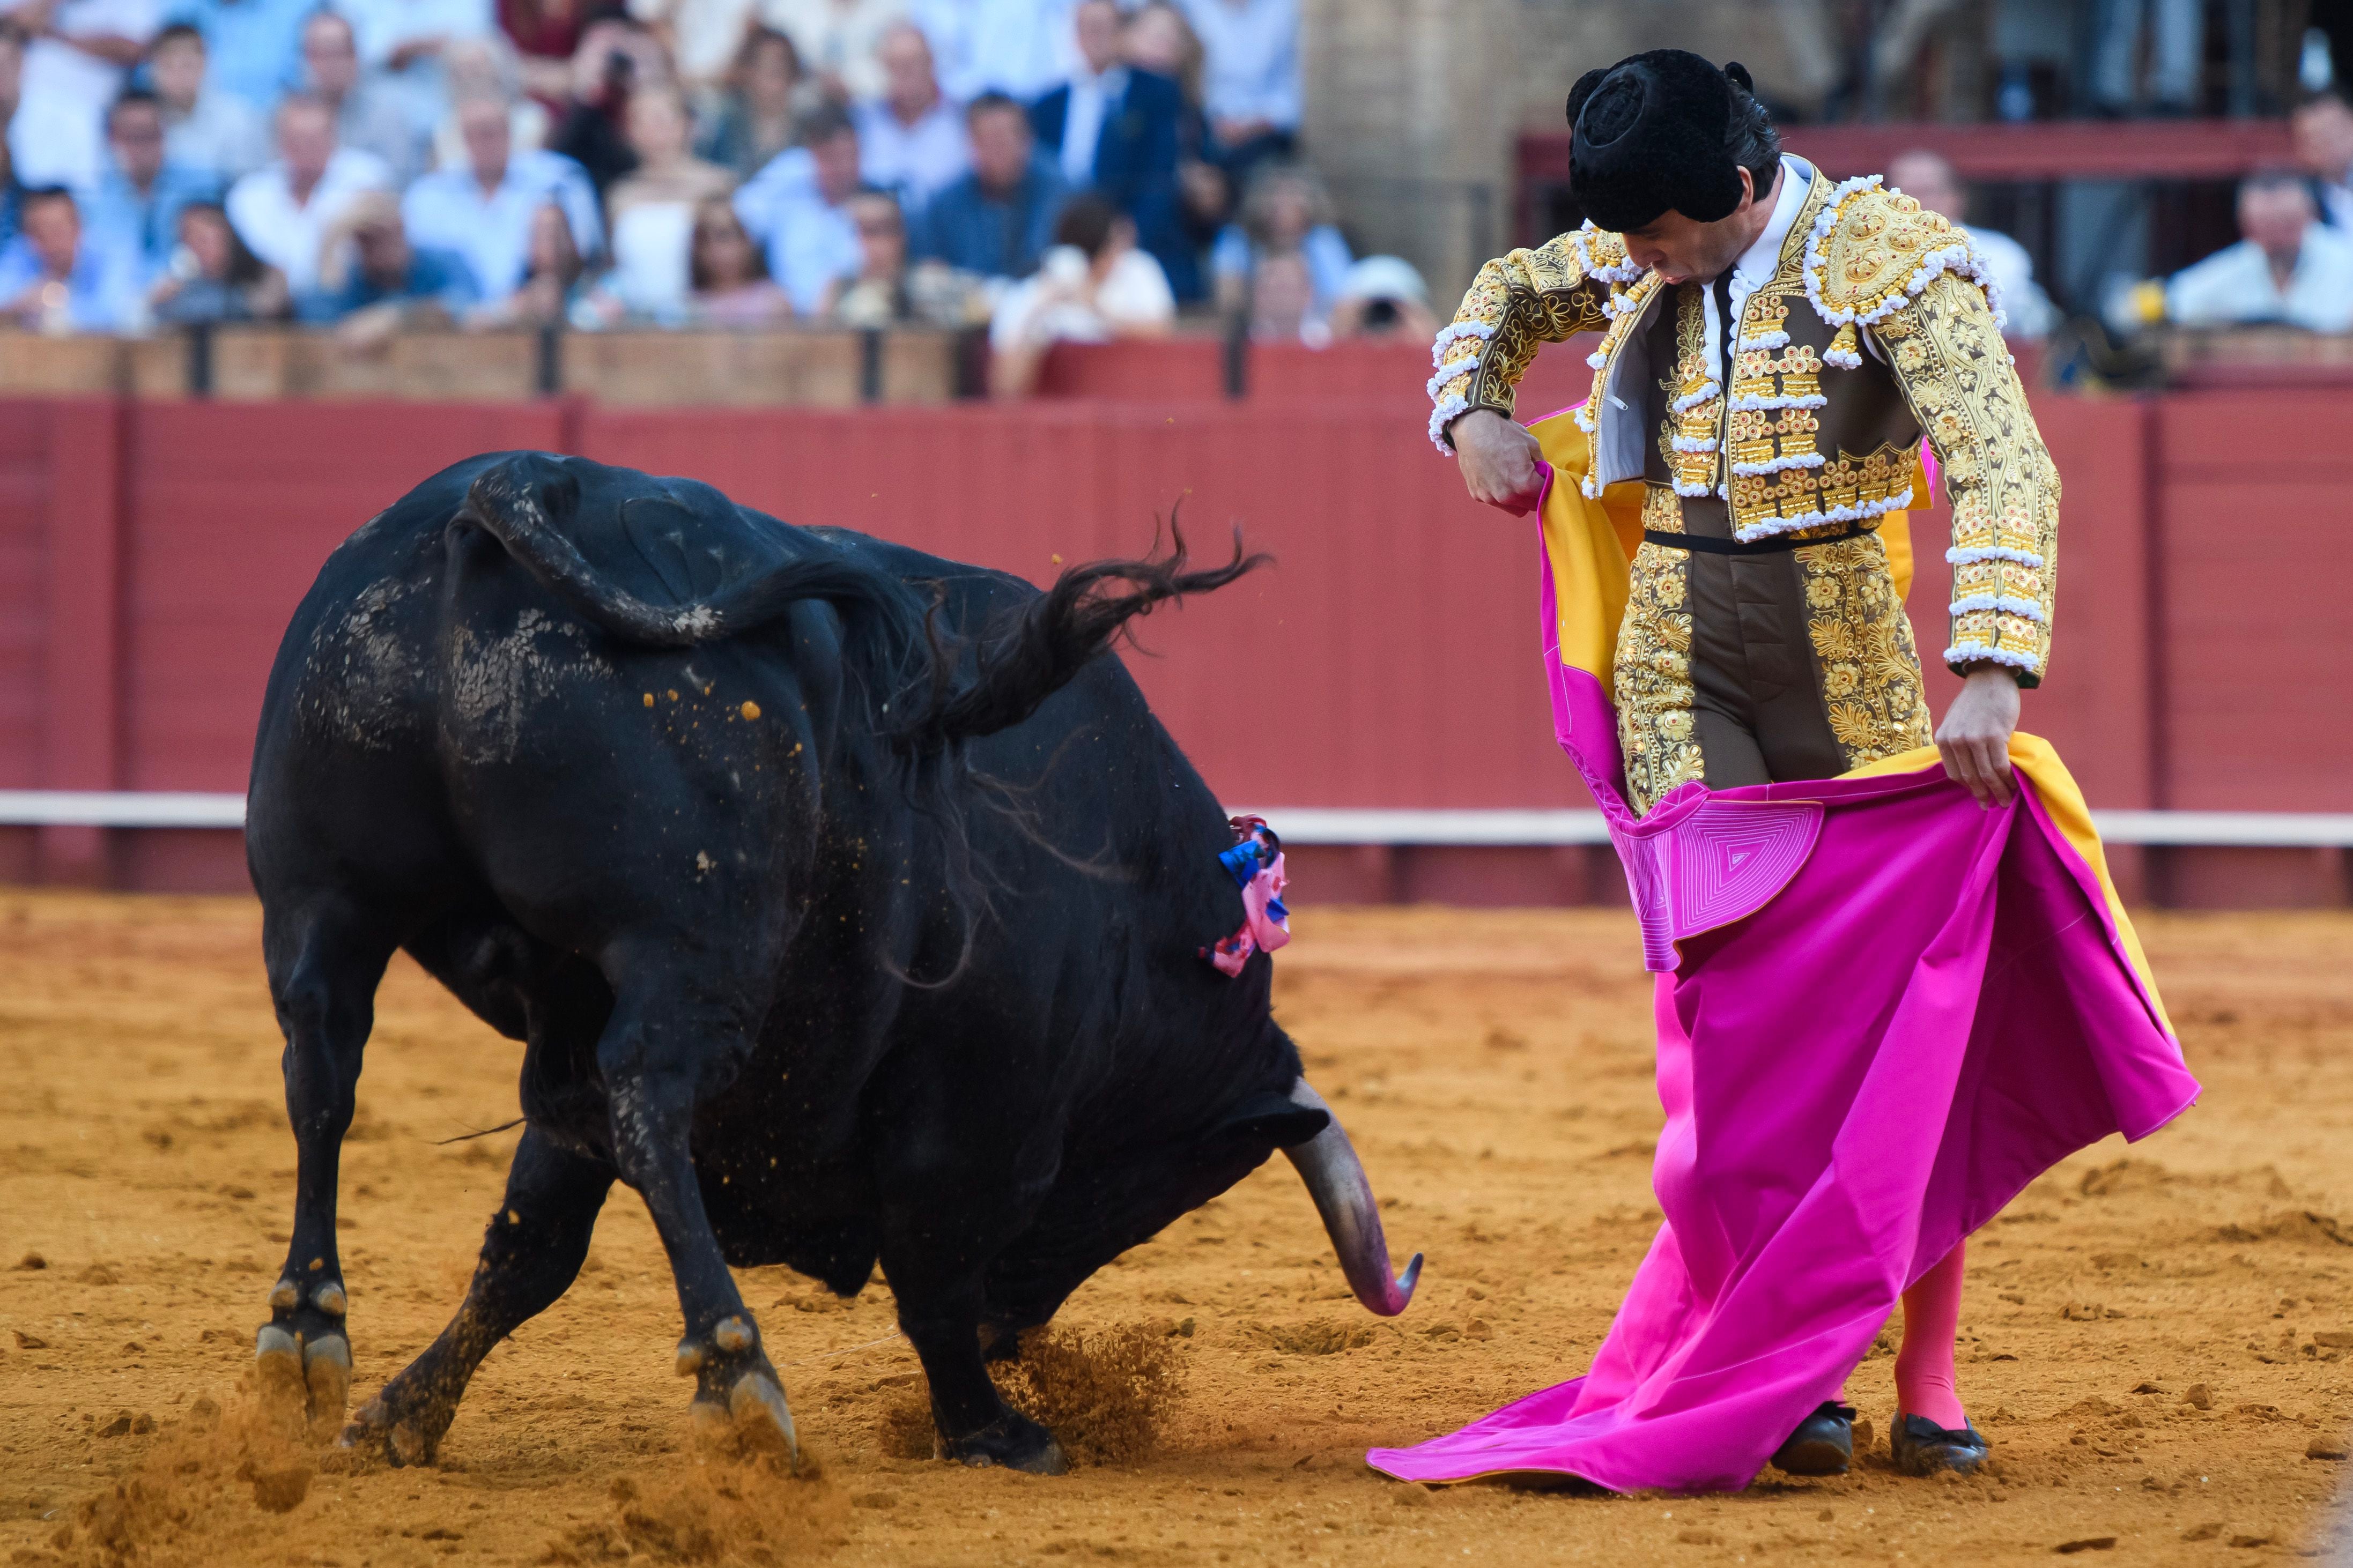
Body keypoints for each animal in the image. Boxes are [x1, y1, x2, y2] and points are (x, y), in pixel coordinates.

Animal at [243, 451, 1411, 1476]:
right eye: (1152, 1189)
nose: (1015, 1331)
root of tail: (535, 480)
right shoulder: (979, 1108)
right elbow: (934, 1274)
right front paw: (994, 1430)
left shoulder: (565, 1048)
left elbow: (529, 1247)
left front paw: (400, 1419)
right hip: (690, 954)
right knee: (648, 1096)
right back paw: (736, 1372)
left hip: (323, 901)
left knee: (322, 1068)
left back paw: (304, 1334)